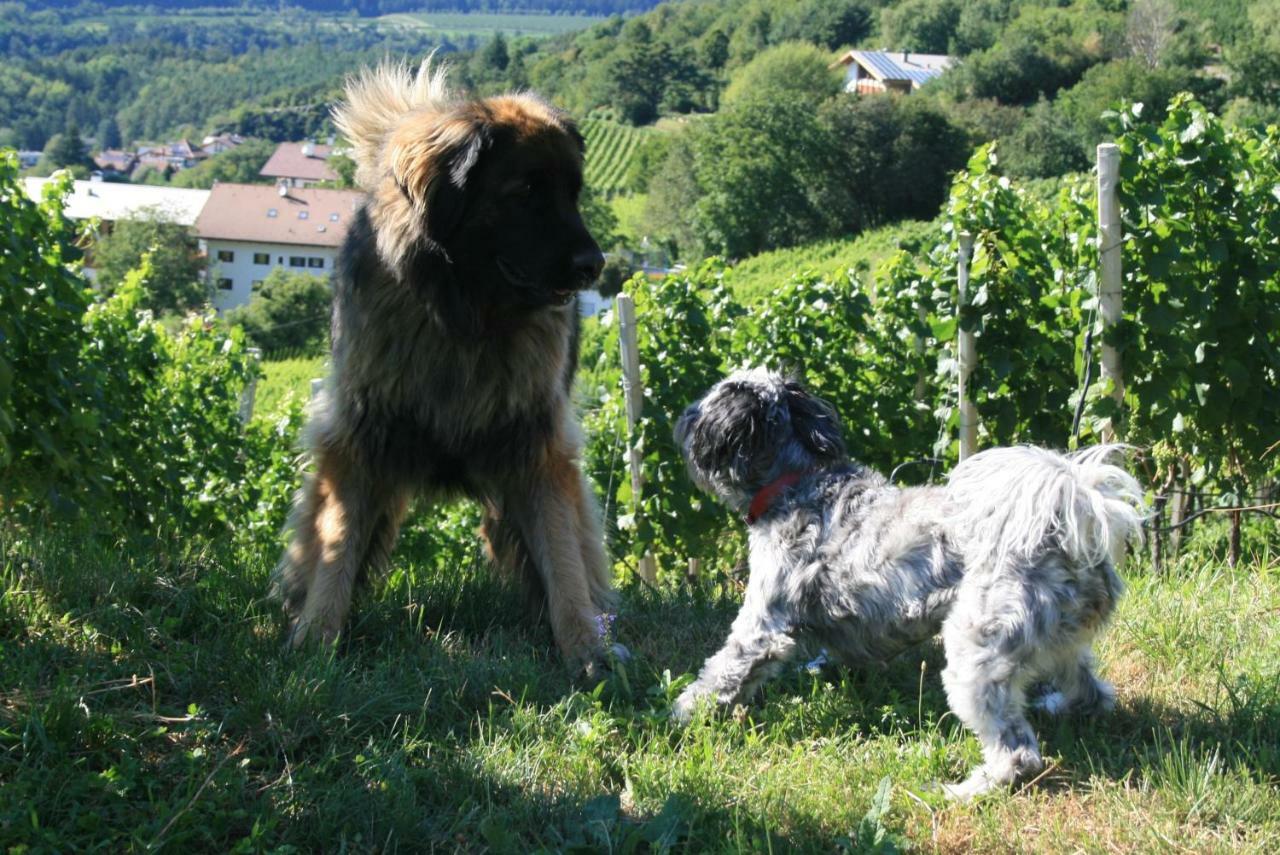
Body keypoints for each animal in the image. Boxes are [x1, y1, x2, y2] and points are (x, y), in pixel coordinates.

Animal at [276, 60, 619, 675]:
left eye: (573, 193)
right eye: (525, 191)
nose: (594, 265)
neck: (464, 317)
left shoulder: (537, 444)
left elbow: (563, 556)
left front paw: (586, 648)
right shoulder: (360, 437)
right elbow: (337, 544)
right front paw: (316, 637)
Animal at [675, 371, 1146, 798]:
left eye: (709, 401)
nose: (683, 417)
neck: (798, 482)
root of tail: (1067, 534)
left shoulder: (763, 627)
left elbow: (721, 673)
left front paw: (678, 713)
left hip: (978, 654)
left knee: (1019, 755)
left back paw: (962, 791)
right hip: (1061, 642)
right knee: (1093, 693)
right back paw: (1058, 706)